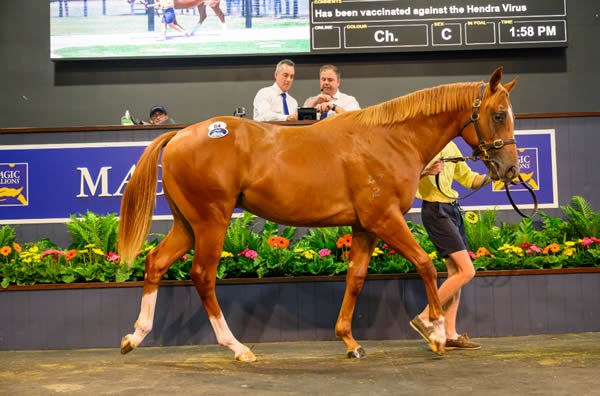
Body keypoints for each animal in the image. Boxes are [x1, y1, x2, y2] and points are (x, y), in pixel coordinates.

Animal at [119, 69, 516, 362]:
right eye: (498, 115)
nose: (509, 169)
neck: (389, 139)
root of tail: (180, 135)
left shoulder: (364, 227)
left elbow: (355, 278)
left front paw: (350, 341)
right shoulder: (385, 219)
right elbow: (425, 265)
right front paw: (433, 332)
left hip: (188, 225)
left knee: (156, 262)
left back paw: (135, 336)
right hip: (211, 223)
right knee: (203, 276)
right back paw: (237, 347)